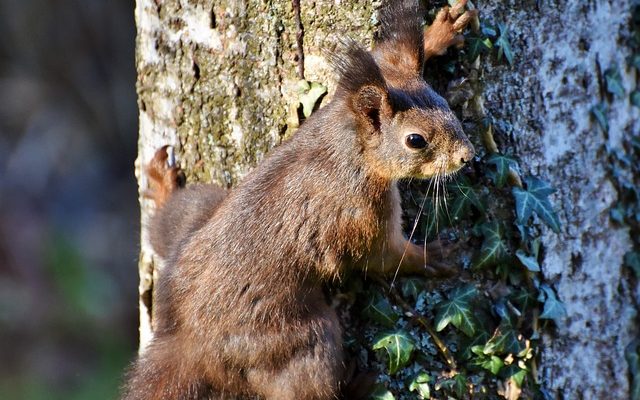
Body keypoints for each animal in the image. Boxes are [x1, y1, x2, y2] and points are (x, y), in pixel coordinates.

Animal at [124, 1, 476, 398]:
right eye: (415, 140)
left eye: (446, 105)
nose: (468, 156)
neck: (347, 142)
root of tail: (191, 340)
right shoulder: (360, 215)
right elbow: (385, 257)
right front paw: (436, 256)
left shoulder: (344, 97)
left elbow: (386, 58)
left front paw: (439, 33)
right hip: (301, 337)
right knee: (308, 384)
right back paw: (357, 383)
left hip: (199, 209)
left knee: (164, 227)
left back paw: (162, 186)